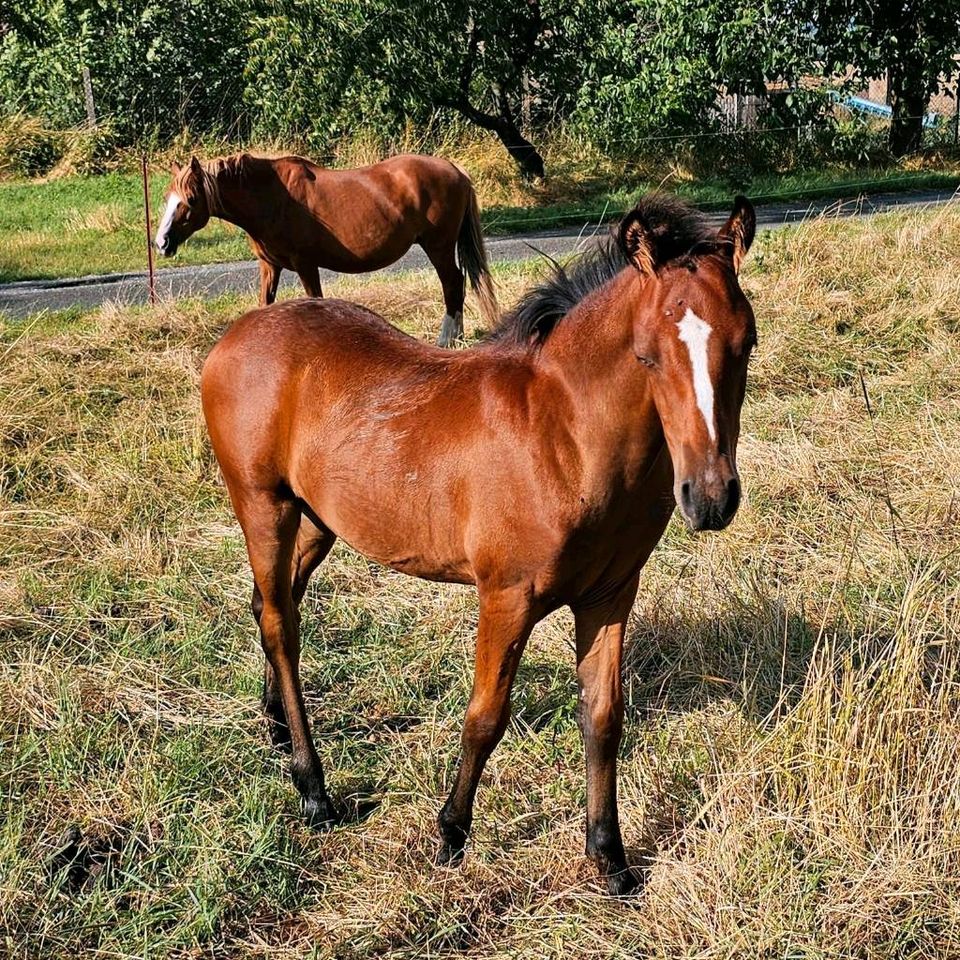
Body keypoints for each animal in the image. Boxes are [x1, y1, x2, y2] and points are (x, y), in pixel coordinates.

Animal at [154, 150, 498, 344]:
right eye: (167, 198)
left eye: (191, 200)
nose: (161, 243)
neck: (272, 197)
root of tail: (456, 170)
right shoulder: (270, 266)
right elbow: (265, 303)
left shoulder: (306, 265)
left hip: (439, 246)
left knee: (452, 283)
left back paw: (446, 340)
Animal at [202, 191, 756, 896]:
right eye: (647, 354)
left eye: (746, 343)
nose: (710, 498)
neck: (564, 436)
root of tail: (236, 334)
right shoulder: (506, 597)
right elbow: (486, 716)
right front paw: (450, 833)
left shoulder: (610, 594)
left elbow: (604, 718)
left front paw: (610, 857)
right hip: (263, 506)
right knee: (280, 624)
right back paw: (313, 789)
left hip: (319, 518)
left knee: (271, 604)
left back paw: (274, 725)